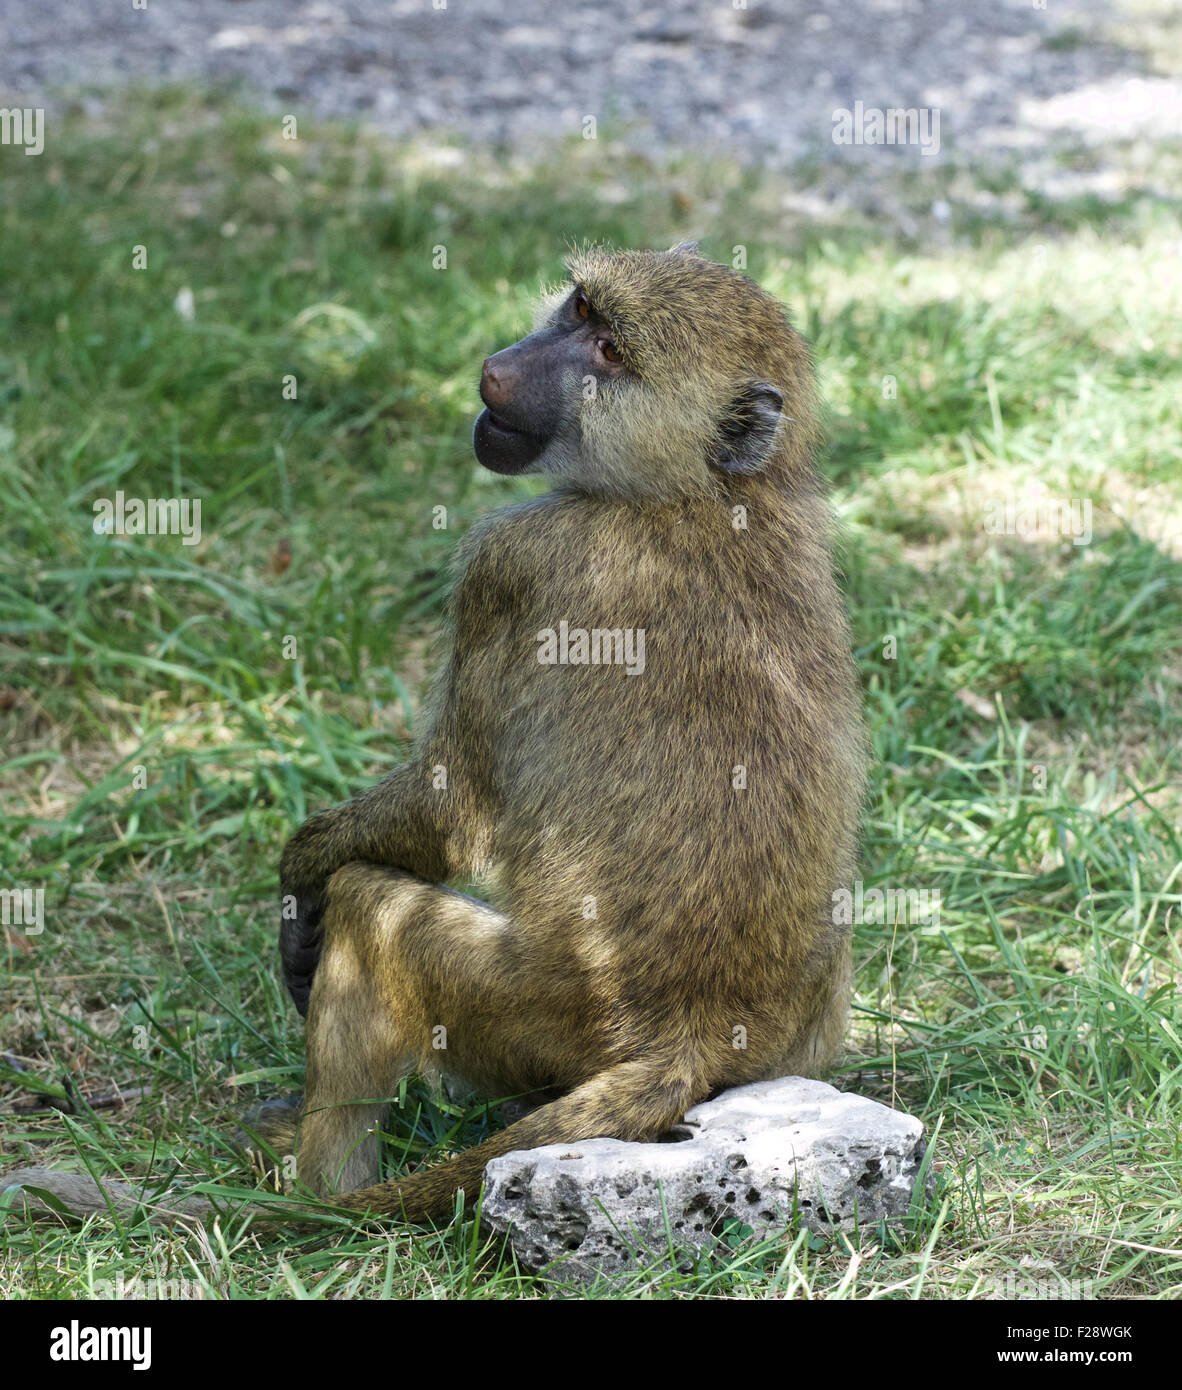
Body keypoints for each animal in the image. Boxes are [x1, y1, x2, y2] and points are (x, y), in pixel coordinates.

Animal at [3, 243, 867, 1229]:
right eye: (579, 312)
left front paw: (300, 881)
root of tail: (698, 1032)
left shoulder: (510, 563)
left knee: (373, 910)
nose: (497, 369)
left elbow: (450, 812)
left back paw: (314, 1188)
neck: (708, 491)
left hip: (537, 1009)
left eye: (612, 352)